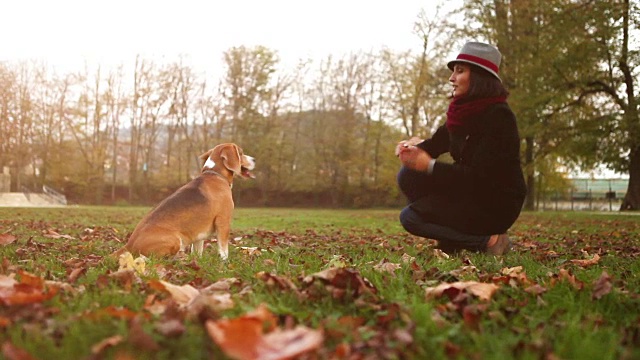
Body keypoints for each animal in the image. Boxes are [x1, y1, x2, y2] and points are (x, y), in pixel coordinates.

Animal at [115, 143, 255, 258]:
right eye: (241, 153)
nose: (254, 159)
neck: (215, 174)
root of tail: (129, 245)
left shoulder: (199, 235)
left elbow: (197, 251)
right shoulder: (223, 221)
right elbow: (224, 249)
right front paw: (224, 263)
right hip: (176, 239)